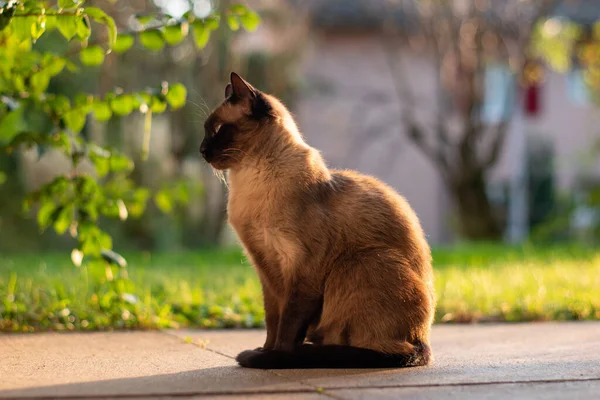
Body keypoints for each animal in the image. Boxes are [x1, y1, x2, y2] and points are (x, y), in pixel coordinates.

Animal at [202, 72, 436, 368]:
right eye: (206, 131)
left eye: (218, 130)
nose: (201, 150)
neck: (249, 182)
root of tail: (423, 341)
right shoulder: (266, 268)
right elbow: (272, 322)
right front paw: (265, 351)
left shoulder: (301, 270)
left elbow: (288, 327)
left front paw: (275, 358)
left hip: (358, 262)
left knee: (374, 348)